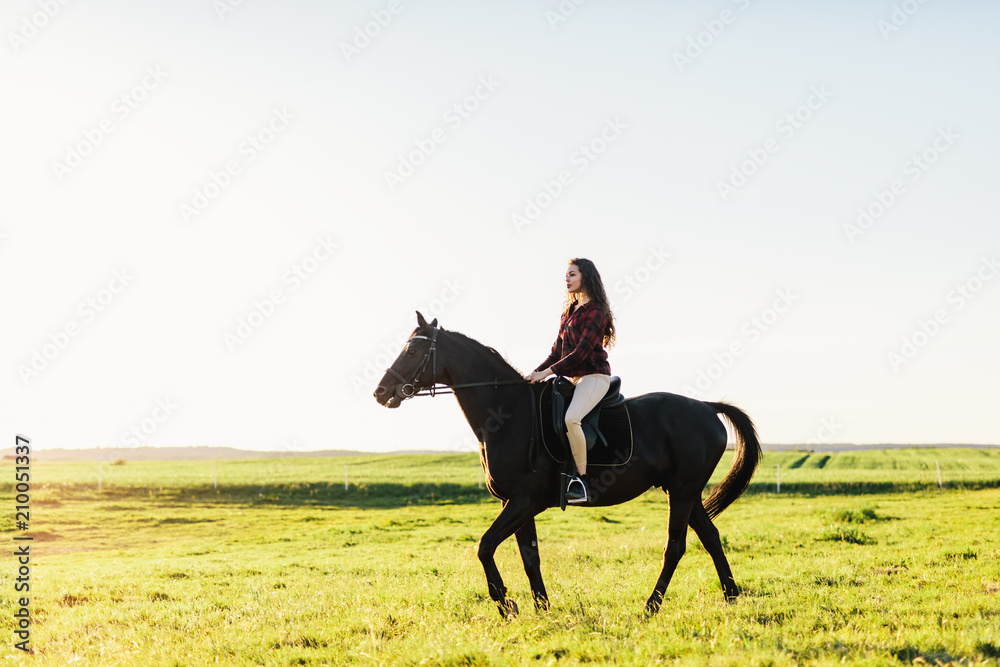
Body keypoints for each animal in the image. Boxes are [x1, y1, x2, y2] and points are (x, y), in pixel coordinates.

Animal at [374, 316, 756, 620]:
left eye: (412, 352)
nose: (381, 392)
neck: (509, 414)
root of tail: (706, 407)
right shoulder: (514, 503)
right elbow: (529, 557)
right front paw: (541, 607)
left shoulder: (524, 501)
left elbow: (484, 546)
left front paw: (505, 604)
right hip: (684, 492)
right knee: (711, 537)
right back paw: (731, 596)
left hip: (682, 491)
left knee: (675, 547)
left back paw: (651, 606)